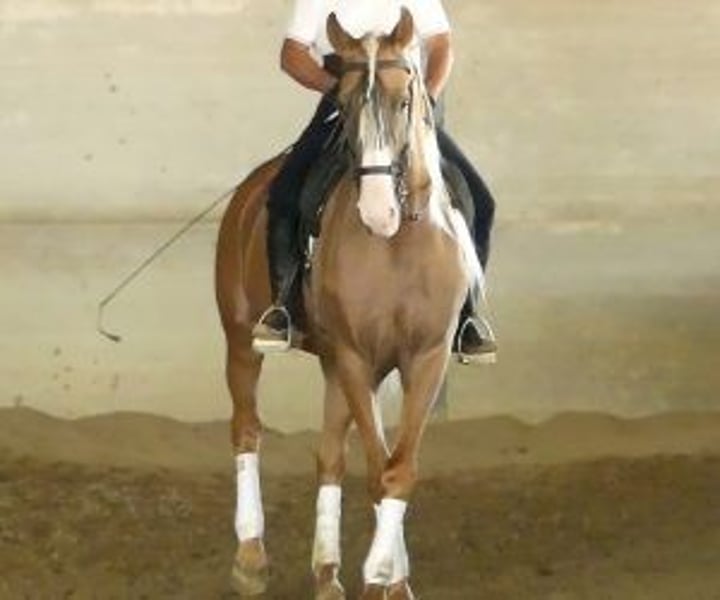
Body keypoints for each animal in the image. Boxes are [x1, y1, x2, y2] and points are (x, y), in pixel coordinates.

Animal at [215, 9, 481, 599]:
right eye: (349, 103)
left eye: (404, 100)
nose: (378, 212)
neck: (398, 245)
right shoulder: (359, 357)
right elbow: (379, 471)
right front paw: (382, 574)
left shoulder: (423, 359)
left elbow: (397, 469)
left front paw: (390, 579)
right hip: (244, 342)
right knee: (247, 431)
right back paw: (249, 556)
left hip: (336, 364)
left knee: (330, 457)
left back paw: (326, 572)